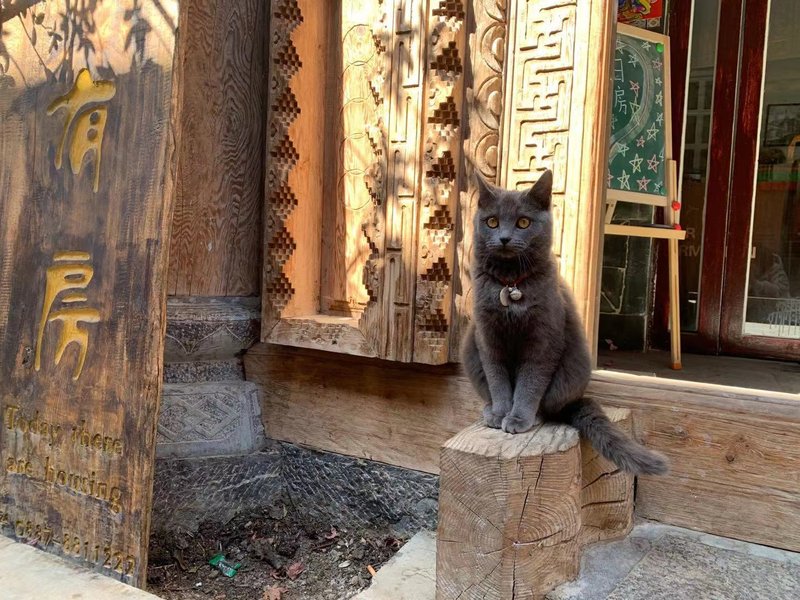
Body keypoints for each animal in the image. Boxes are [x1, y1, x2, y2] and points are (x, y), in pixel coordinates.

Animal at [462, 171, 668, 476]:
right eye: (492, 222)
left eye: (523, 222)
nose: (504, 238)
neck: (511, 285)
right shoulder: (488, 337)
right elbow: (497, 379)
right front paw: (500, 413)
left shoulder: (544, 339)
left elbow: (530, 383)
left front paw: (517, 418)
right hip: (469, 346)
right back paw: (489, 412)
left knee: (550, 409)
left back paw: (533, 417)